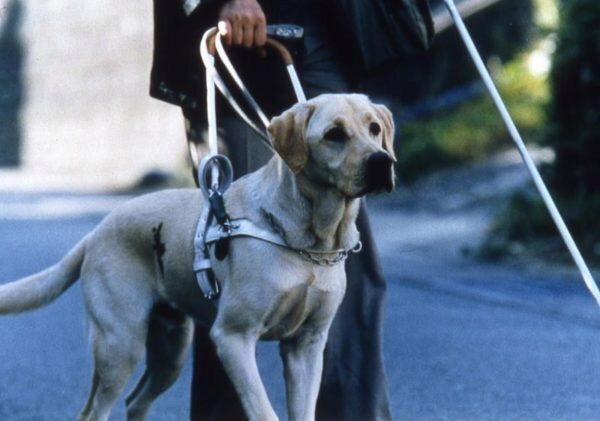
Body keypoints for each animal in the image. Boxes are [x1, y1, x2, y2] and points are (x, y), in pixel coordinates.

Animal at [0, 92, 394, 420]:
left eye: (374, 128)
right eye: (334, 134)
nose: (382, 162)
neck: (310, 243)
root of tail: (96, 232)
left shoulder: (307, 346)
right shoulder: (233, 338)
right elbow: (264, 409)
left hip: (170, 349)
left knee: (135, 401)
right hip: (119, 345)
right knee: (93, 412)